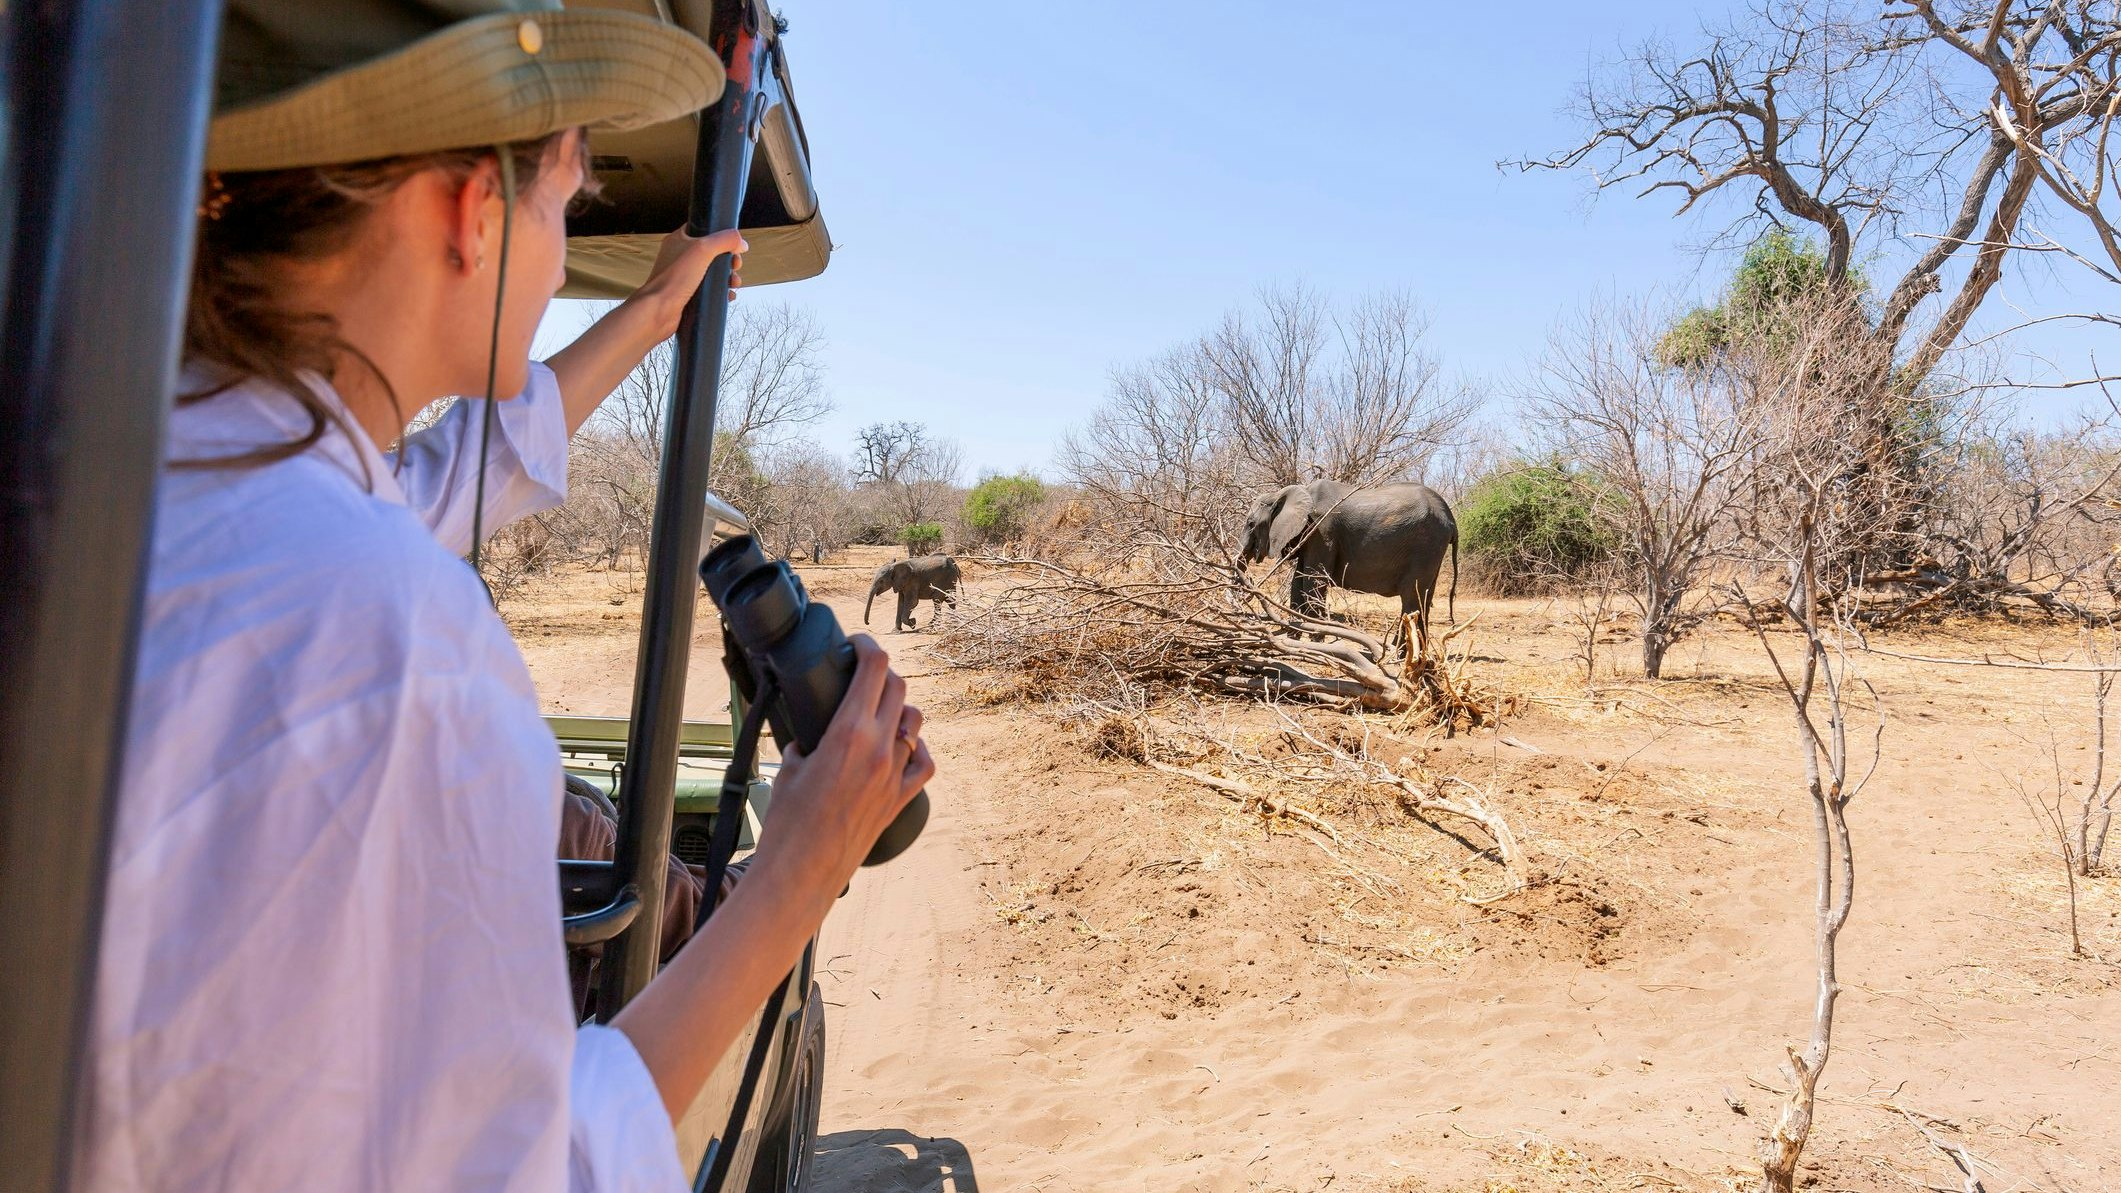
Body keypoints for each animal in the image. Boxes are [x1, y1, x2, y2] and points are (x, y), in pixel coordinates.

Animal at [1238, 477, 1459, 641]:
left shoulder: (1322, 531)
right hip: (1432, 550)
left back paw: (1397, 655)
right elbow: (1298, 581)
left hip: (1425, 545)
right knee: (1423, 599)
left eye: (1250, 524)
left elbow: (1313, 581)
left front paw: (1316, 639)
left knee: (1411, 598)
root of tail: (1451, 519)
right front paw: (1293, 637)